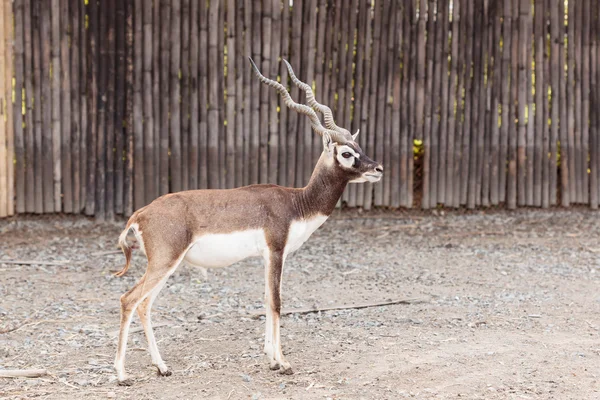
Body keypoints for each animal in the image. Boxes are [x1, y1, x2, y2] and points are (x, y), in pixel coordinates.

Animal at [115, 59, 382, 384]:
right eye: (346, 153)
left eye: (360, 148)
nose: (378, 168)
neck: (296, 202)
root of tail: (141, 213)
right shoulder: (276, 251)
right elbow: (277, 302)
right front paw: (284, 363)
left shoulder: (267, 257)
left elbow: (266, 300)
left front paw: (271, 359)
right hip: (165, 262)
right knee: (129, 300)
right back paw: (121, 374)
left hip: (165, 265)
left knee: (144, 305)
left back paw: (162, 367)